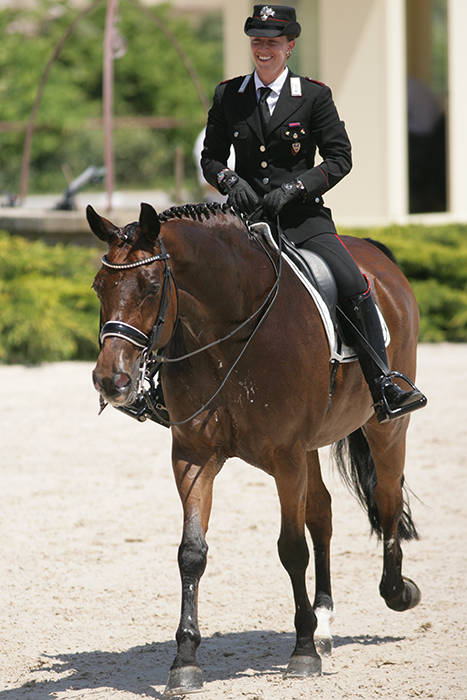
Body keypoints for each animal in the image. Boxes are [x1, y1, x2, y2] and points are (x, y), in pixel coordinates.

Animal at [86, 201, 422, 696]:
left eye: (150, 287)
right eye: (99, 287)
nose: (111, 381)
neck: (227, 333)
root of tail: (374, 254)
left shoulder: (285, 455)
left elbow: (292, 548)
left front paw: (302, 652)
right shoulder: (194, 456)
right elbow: (192, 553)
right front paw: (185, 660)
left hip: (385, 428)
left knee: (387, 497)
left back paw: (396, 592)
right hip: (310, 449)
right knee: (323, 512)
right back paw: (323, 621)